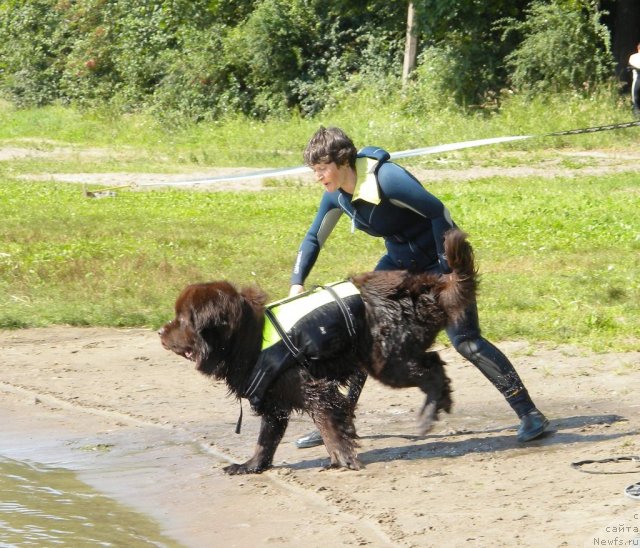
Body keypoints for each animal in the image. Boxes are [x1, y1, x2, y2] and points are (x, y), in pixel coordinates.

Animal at [159, 229, 476, 474]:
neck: (249, 339)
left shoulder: (314, 390)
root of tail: (421, 285)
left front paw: (343, 459)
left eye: (182, 320)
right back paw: (441, 404)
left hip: (387, 361)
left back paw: (428, 414)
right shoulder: (274, 401)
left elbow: (328, 426)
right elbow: (266, 439)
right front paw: (250, 466)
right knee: (435, 362)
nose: (161, 332)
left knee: (432, 370)